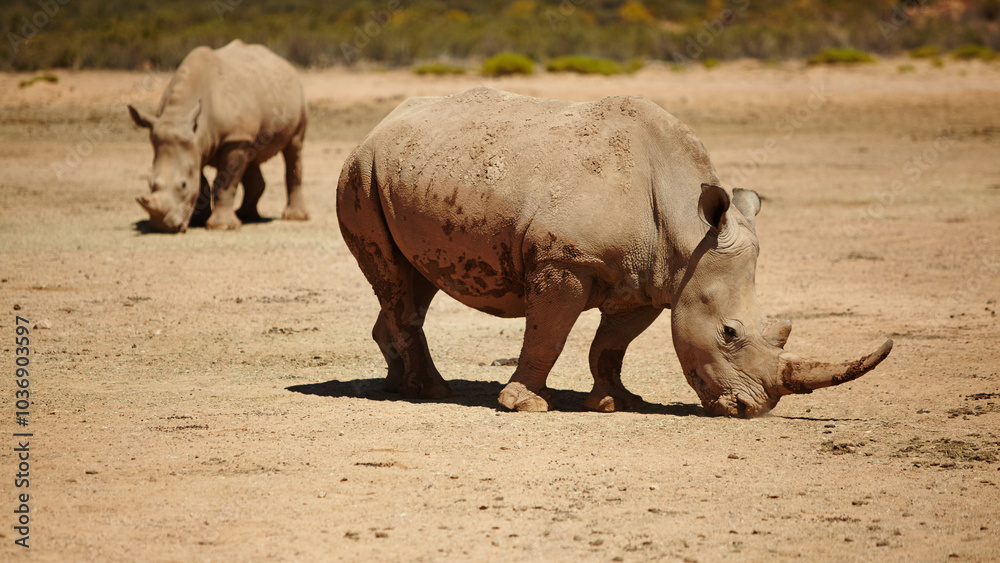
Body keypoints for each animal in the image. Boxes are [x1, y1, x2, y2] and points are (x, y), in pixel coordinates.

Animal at [128, 40, 308, 232]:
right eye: (149, 182)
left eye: (183, 185)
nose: (161, 227)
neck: (179, 113)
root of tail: (285, 64)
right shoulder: (196, 145)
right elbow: (201, 182)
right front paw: (197, 220)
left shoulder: (232, 138)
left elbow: (224, 183)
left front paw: (222, 226)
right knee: (251, 155)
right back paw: (246, 216)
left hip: (295, 101)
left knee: (293, 149)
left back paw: (295, 217)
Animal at [336, 87, 892, 417]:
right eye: (729, 334)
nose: (752, 409)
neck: (688, 232)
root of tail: (381, 125)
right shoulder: (565, 261)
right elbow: (548, 335)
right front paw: (525, 405)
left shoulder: (654, 281)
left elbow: (611, 344)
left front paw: (615, 402)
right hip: (361, 174)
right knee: (395, 281)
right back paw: (431, 392)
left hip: (410, 171)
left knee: (413, 281)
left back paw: (397, 385)